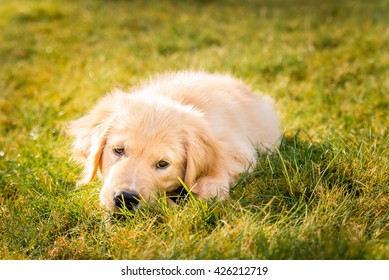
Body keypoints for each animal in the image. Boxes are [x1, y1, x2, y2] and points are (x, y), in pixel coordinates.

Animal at [68, 71, 280, 211]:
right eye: (118, 150)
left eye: (163, 164)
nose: (125, 198)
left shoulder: (238, 150)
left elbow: (221, 167)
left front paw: (208, 192)